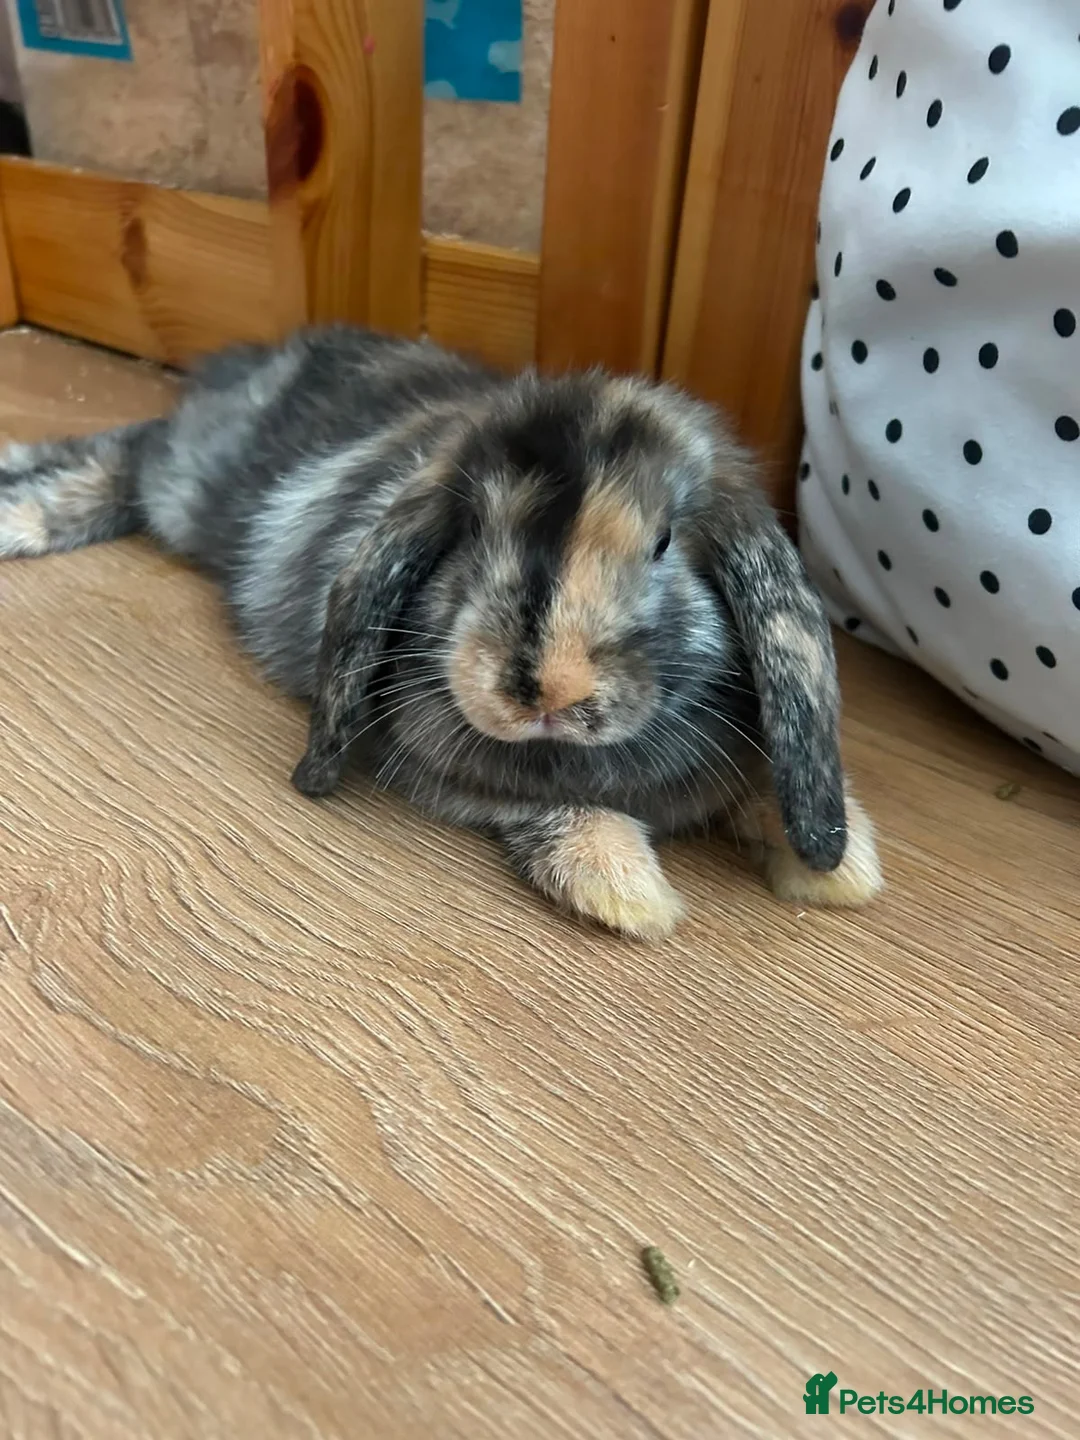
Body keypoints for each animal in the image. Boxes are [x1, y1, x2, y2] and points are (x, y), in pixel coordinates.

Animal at [0, 325, 882, 939]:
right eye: (474, 532)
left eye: (665, 542)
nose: (547, 691)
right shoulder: (450, 776)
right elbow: (558, 813)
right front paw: (631, 896)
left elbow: (772, 787)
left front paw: (846, 871)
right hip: (186, 484)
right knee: (127, 454)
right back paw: (22, 516)